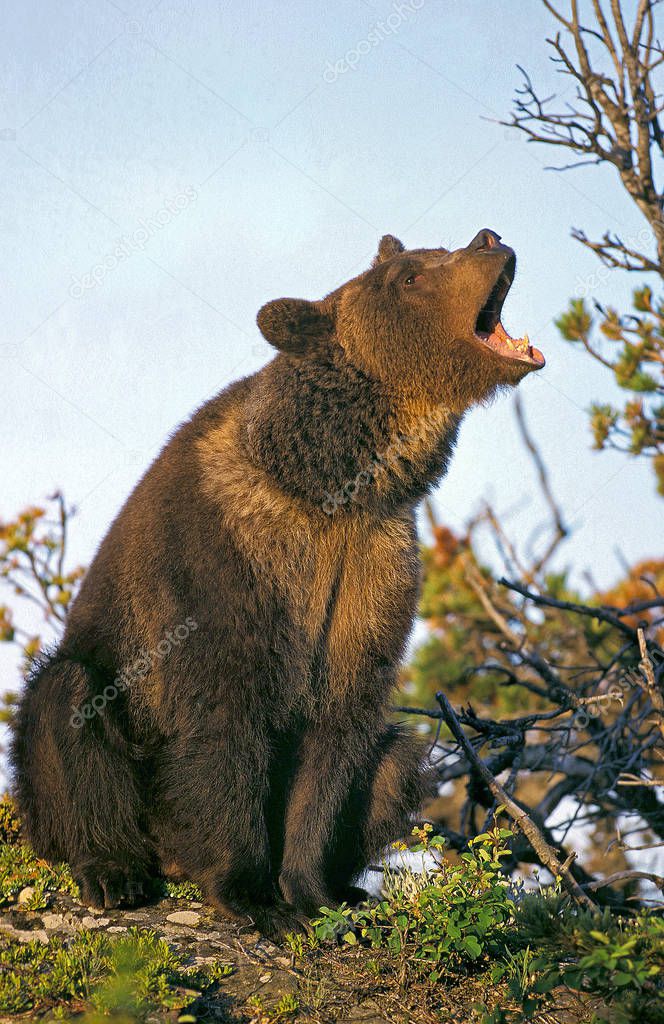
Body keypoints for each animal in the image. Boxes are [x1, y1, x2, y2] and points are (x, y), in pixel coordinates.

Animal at [10, 224, 545, 937]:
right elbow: (225, 717)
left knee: (400, 758)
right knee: (69, 702)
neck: (329, 483)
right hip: (110, 740)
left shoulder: (369, 567)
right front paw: (249, 892)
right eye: (410, 275)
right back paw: (115, 870)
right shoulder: (226, 554)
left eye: (433, 252)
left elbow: (340, 727)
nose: (489, 238)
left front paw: (315, 892)